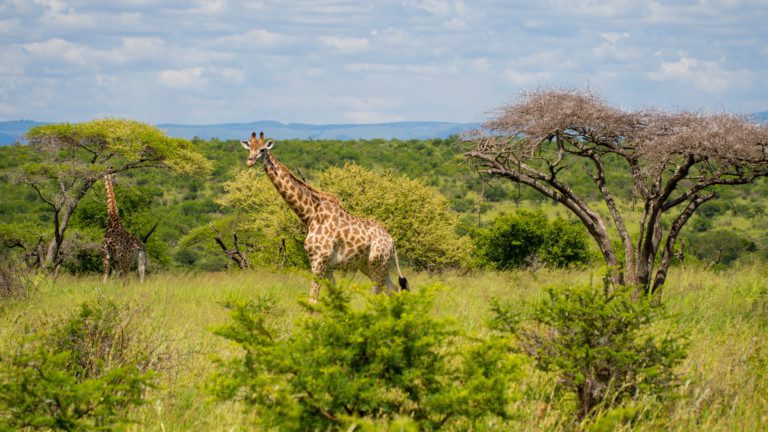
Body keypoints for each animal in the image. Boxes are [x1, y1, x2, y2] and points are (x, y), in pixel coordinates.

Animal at [240, 130, 408, 302]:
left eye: (262, 150)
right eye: (249, 149)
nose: (249, 161)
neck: (310, 216)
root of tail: (391, 241)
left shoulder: (319, 260)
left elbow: (312, 299)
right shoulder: (325, 266)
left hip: (377, 263)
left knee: (378, 293)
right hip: (368, 265)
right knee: (394, 289)